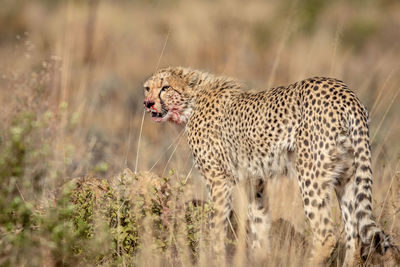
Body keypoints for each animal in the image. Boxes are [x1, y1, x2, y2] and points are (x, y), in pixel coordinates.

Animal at [143, 66, 396, 266]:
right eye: (147, 88)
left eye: (165, 87)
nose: (148, 103)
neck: (192, 101)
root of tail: (346, 93)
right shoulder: (254, 180)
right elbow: (259, 222)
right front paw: (260, 258)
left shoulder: (219, 180)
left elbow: (217, 226)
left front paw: (213, 257)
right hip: (347, 176)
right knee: (354, 234)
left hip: (311, 174)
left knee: (326, 235)